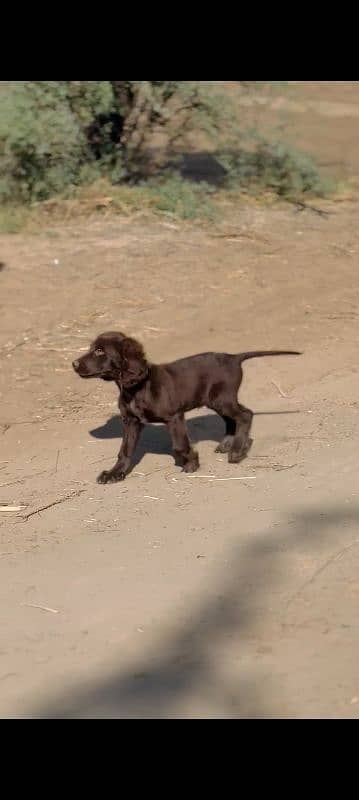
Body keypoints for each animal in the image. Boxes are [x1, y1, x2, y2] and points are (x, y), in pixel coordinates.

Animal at [72, 330, 300, 484]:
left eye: (100, 351)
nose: (74, 364)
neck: (136, 388)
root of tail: (234, 357)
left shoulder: (174, 416)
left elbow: (179, 445)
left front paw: (191, 463)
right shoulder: (131, 422)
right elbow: (124, 451)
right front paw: (114, 474)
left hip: (222, 399)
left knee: (245, 415)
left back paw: (237, 451)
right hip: (216, 400)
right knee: (232, 419)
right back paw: (227, 444)